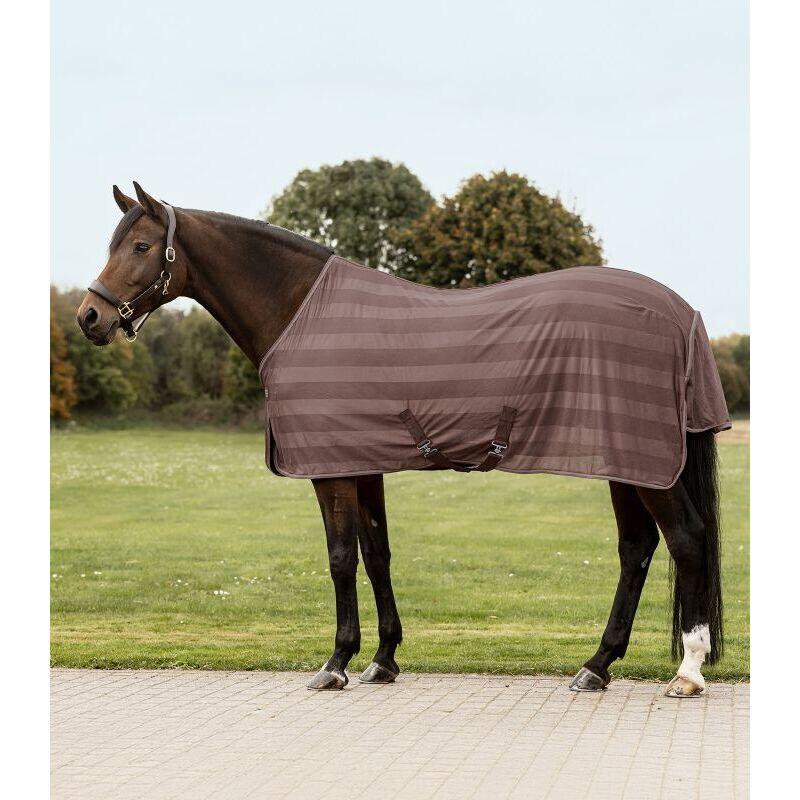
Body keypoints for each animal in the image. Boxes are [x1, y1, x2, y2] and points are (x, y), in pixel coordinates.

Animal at [77, 183, 726, 697]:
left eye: (140, 247)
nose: (89, 318)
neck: (303, 312)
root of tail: (683, 312)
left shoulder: (331, 469)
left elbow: (341, 558)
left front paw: (336, 662)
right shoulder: (364, 462)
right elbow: (377, 554)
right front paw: (383, 660)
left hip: (646, 463)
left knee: (686, 538)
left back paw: (688, 672)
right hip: (626, 462)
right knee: (637, 549)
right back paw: (596, 666)